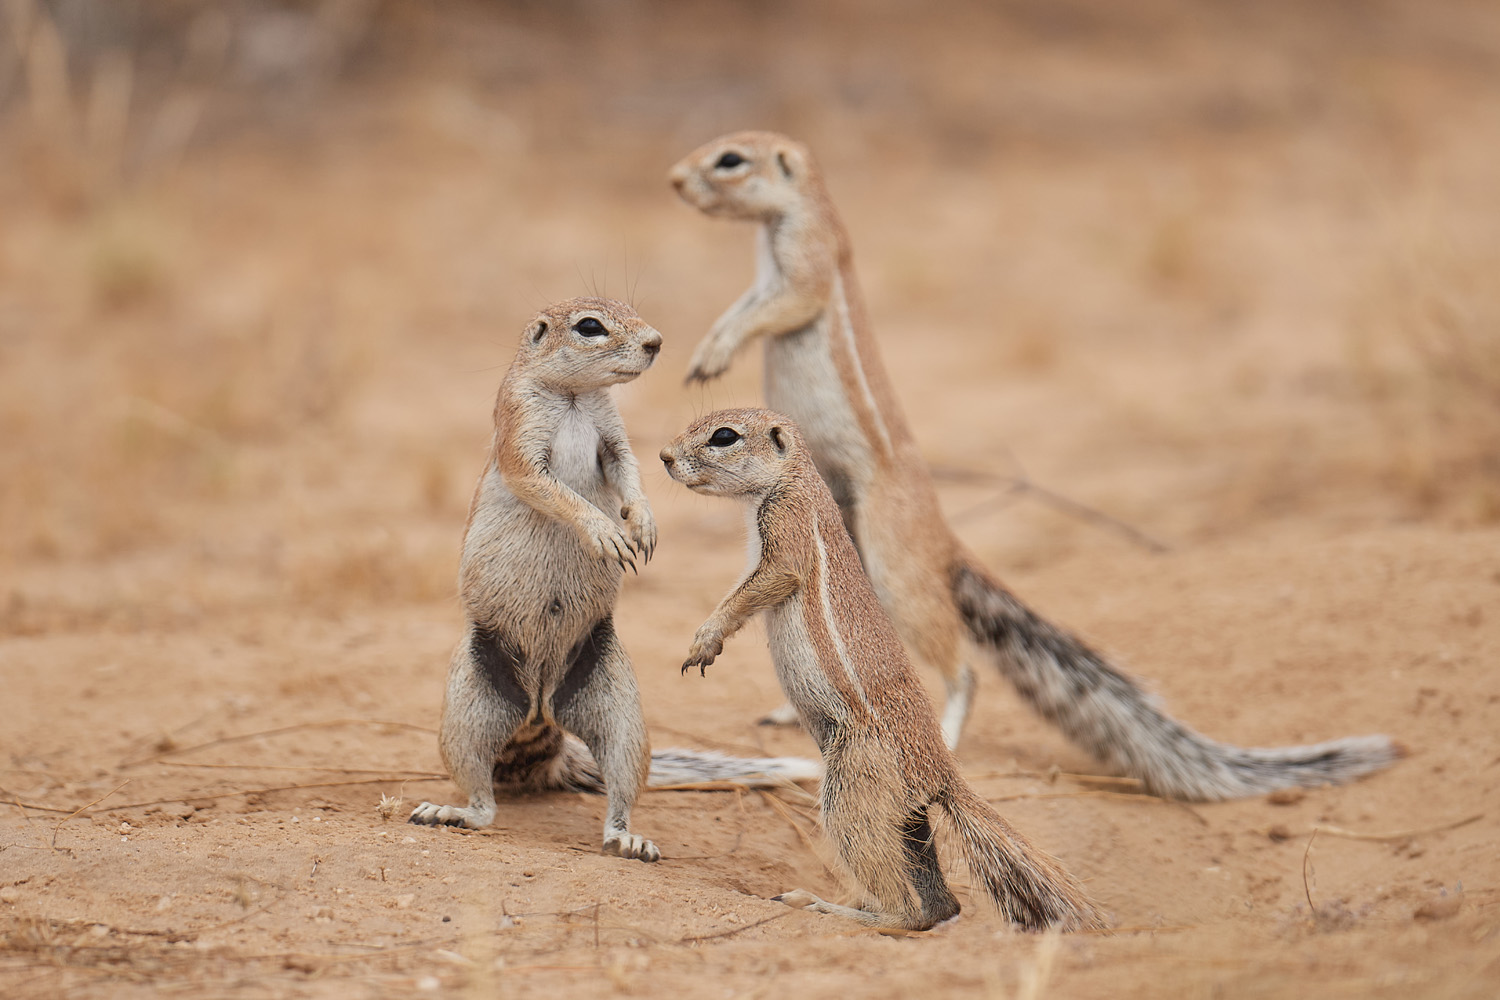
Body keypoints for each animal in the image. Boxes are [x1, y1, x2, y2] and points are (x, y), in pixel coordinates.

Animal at [408, 295, 822, 863]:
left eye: (631, 307)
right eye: (590, 327)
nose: (656, 342)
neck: (576, 399)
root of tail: (543, 715)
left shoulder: (612, 434)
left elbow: (627, 468)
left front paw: (643, 524)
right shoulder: (519, 425)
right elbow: (543, 483)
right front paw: (605, 531)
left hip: (619, 709)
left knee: (619, 788)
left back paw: (628, 838)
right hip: (466, 709)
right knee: (483, 802)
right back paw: (448, 811)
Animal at [663, 407, 1110, 929]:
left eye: (724, 436)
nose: (665, 456)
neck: (794, 479)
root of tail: (943, 774)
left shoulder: (787, 531)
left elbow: (758, 587)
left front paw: (705, 640)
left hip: (853, 784)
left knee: (904, 909)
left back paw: (830, 906)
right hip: (905, 813)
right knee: (940, 904)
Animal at [669, 134, 1404, 803]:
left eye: (730, 160)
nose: (676, 179)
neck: (789, 218)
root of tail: (944, 538)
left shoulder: (808, 264)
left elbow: (783, 305)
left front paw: (718, 352)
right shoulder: (761, 279)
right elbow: (739, 309)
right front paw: (707, 350)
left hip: (894, 559)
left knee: (961, 668)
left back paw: (947, 730)